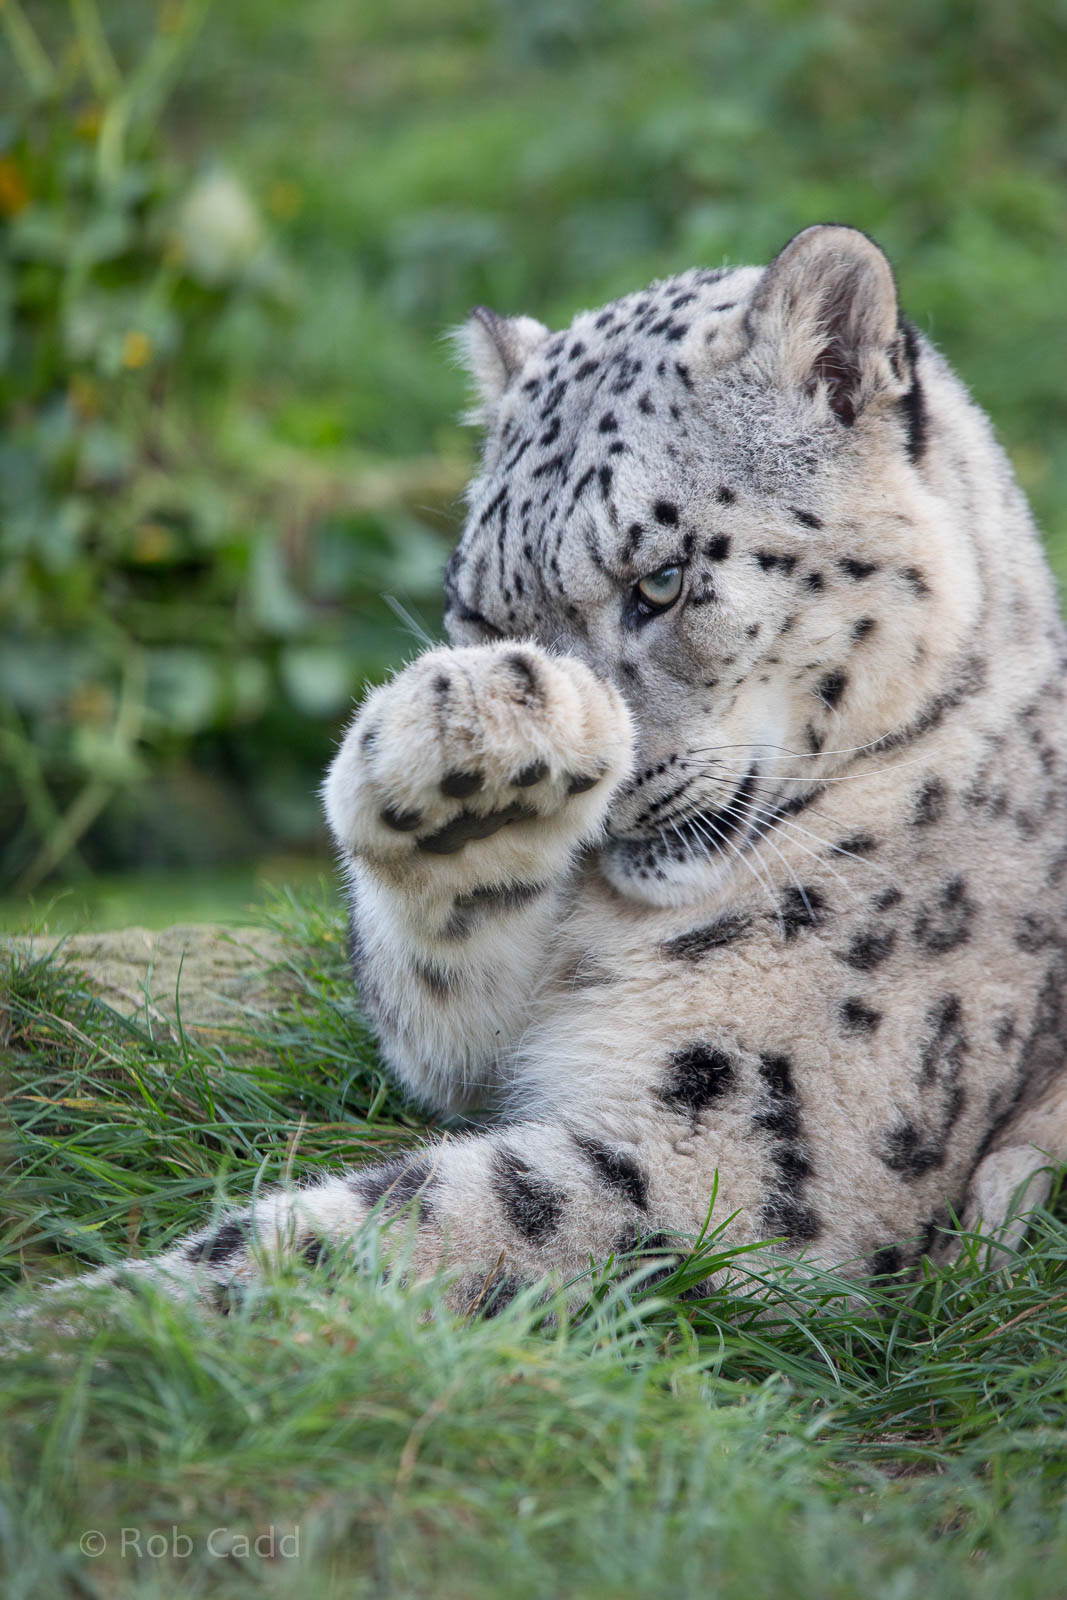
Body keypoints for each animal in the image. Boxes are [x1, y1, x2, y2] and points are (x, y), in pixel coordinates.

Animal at [43, 224, 1067, 1314]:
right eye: (480, 609)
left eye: (661, 577)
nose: (607, 802)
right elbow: (437, 996)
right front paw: (461, 747)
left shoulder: (761, 1148)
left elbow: (416, 1224)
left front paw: (93, 1320)